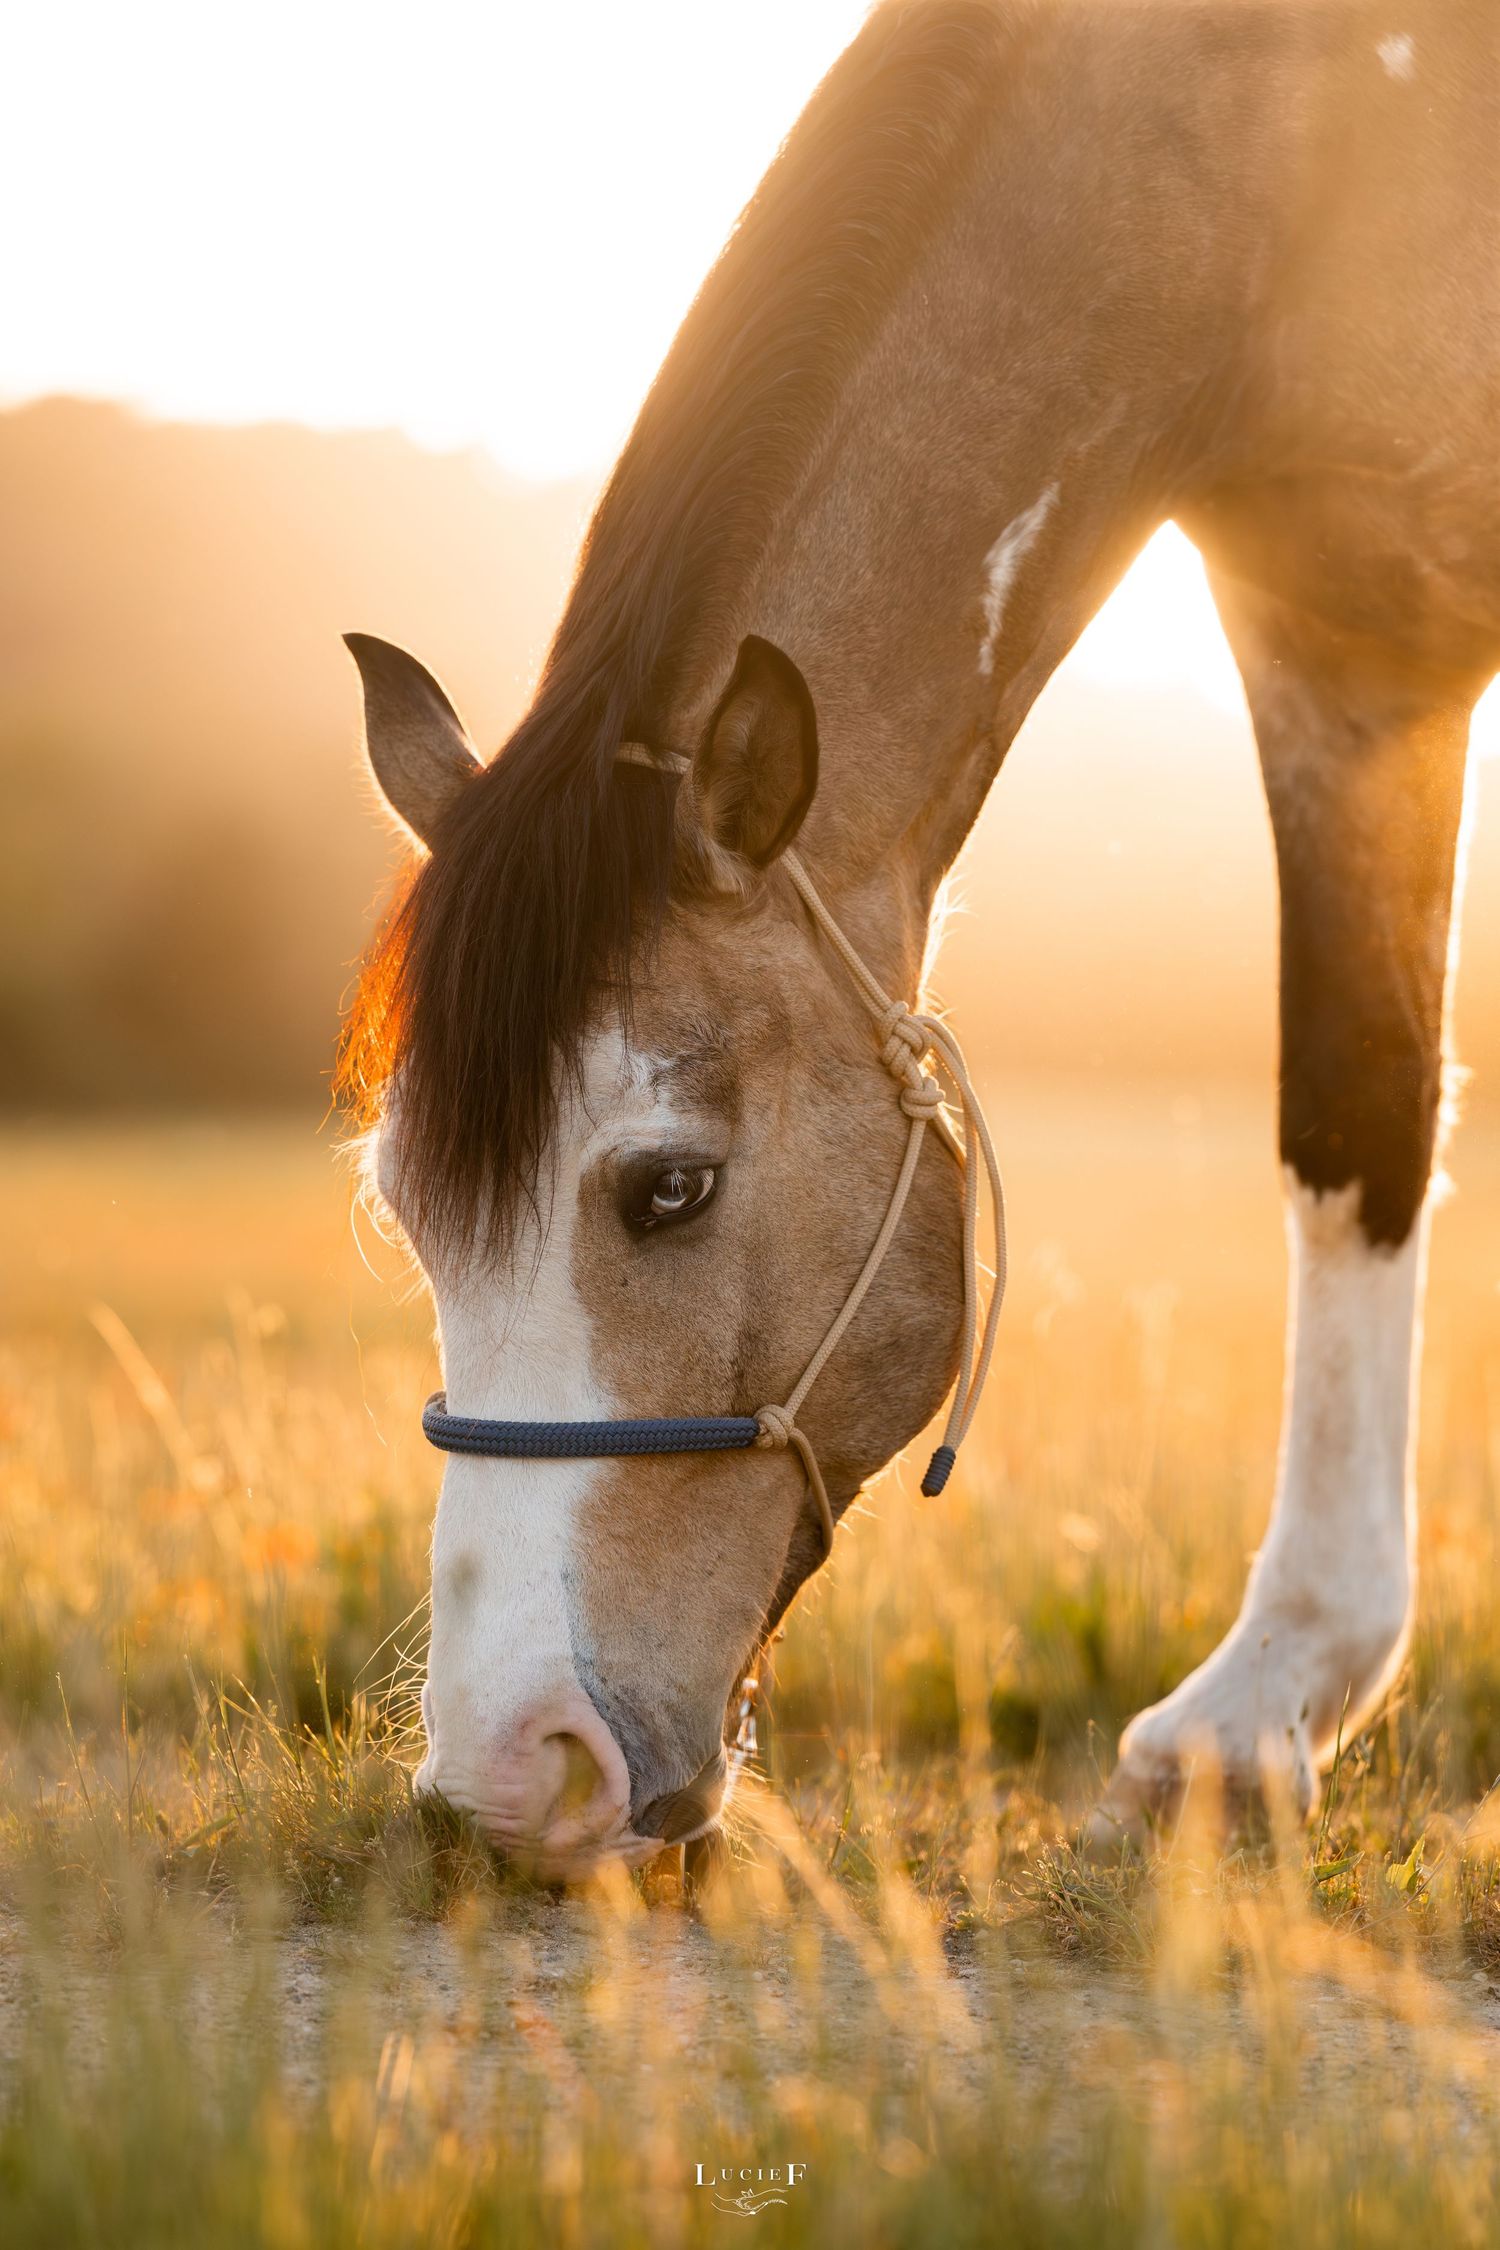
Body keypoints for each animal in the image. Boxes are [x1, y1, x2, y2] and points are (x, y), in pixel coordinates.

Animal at [341, 0, 1500, 1877]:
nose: (513, 1769)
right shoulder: (1348, 654)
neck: (1290, 142)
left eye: (668, 1187)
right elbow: (1357, 1115)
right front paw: (1271, 1706)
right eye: (409, 1210)